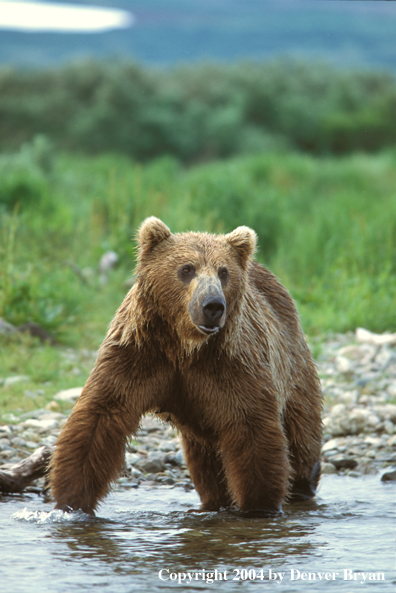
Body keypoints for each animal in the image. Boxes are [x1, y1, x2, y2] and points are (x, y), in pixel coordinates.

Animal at [49, 216, 322, 512]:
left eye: (223, 272)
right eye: (187, 269)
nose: (213, 305)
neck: (184, 346)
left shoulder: (232, 365)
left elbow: (251, 428)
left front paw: (259, 503)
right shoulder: (137, 355)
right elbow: (99, 418)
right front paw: (72, 498)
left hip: (293, 368)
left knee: (301, 438)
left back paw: (303, 484)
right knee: (208, 465)